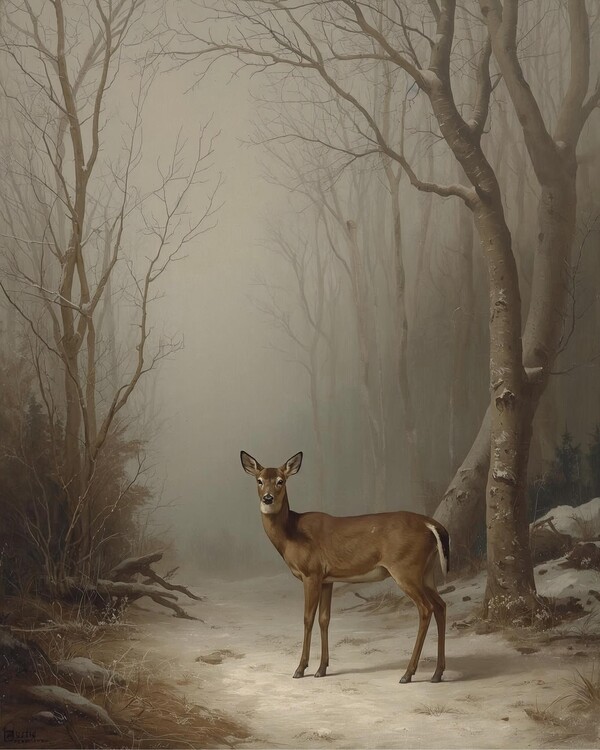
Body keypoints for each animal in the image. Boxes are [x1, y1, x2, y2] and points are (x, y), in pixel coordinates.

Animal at [240, 450, 450, 684]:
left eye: (280, 481)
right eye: (259, 480)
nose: (268, 498)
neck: (290, 534)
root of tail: (432, 525)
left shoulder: (311, 573)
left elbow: (307, 619)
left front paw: (301, 668)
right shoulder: (327, 579)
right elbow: (324, 619)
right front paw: (321, 668)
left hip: (406, 568)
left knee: (426, 608)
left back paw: (408, 673)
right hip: (427, 571)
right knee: (441, 606)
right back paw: (437, 673)